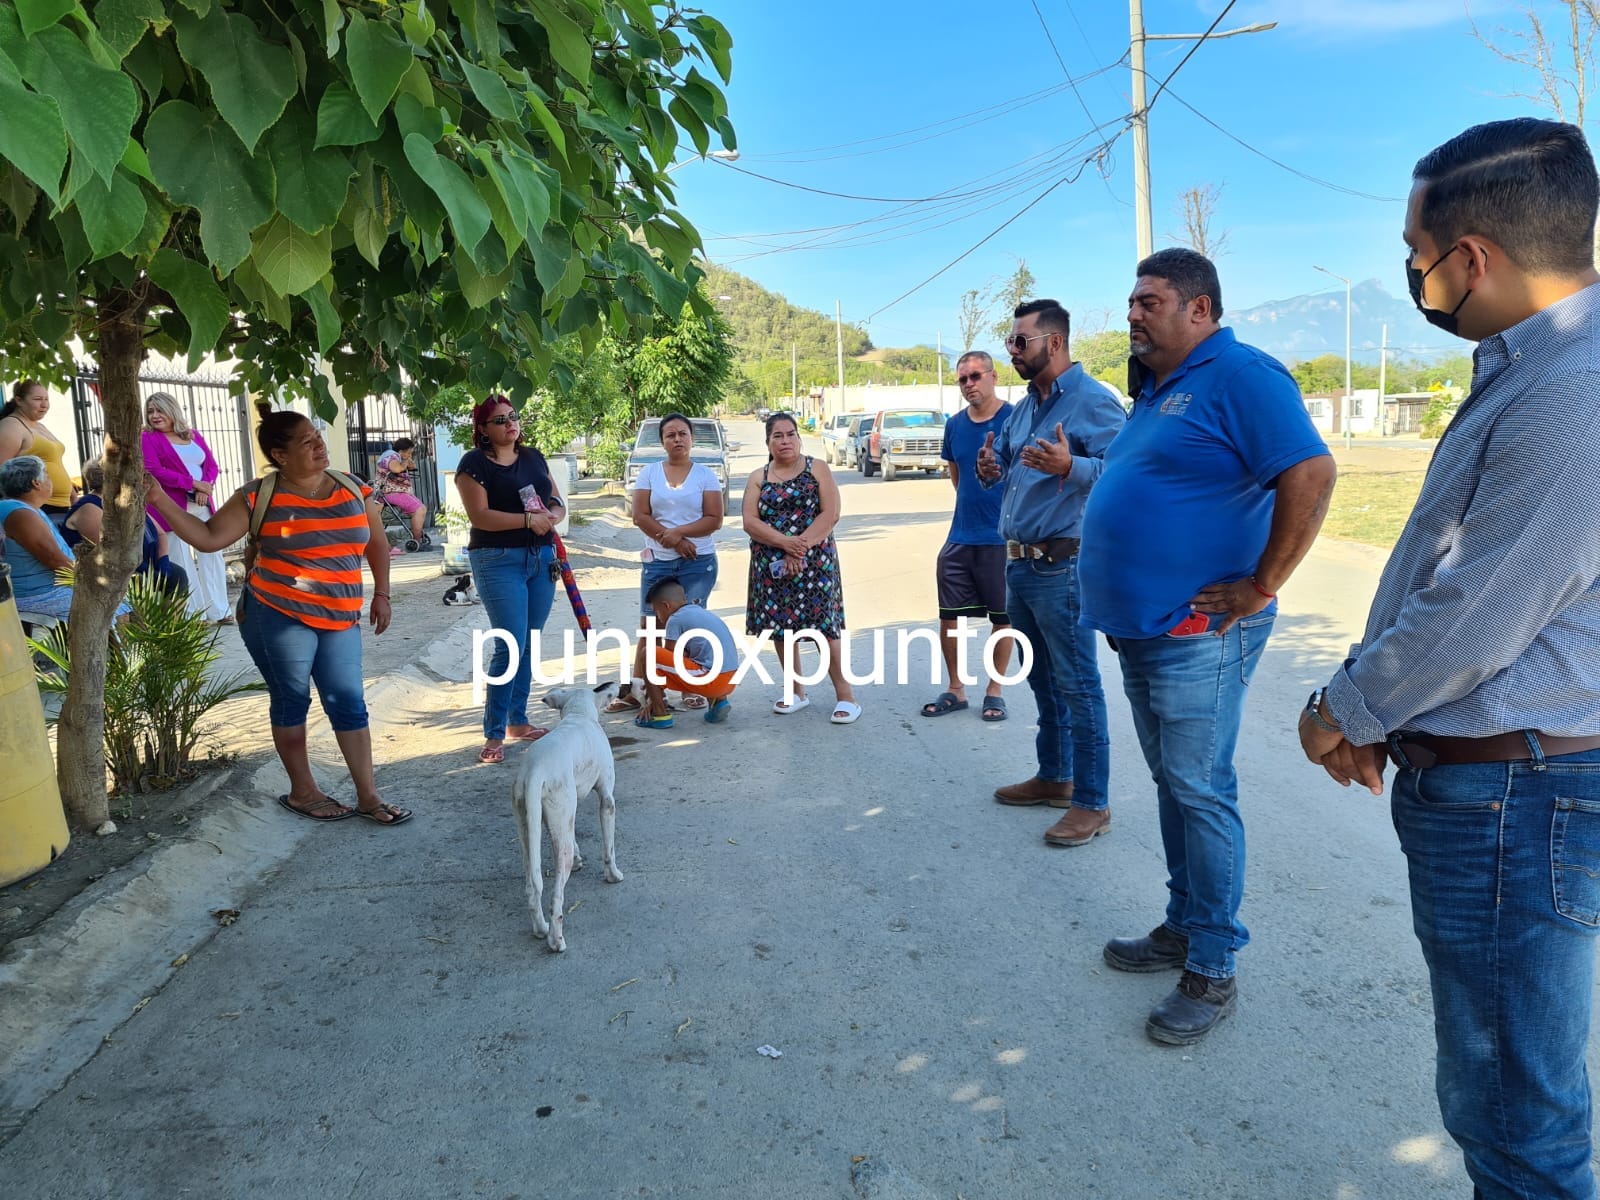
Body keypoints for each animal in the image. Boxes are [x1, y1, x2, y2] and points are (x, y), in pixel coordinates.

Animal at [508, 681, 620, 953]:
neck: (578, 714)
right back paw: (556, 940)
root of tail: (535, 771)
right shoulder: (607, 800)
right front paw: (613, 875)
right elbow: (609, 849)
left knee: (533, 886)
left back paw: (541, 929)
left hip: (527, 826)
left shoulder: (566, 814)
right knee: (556, 895)